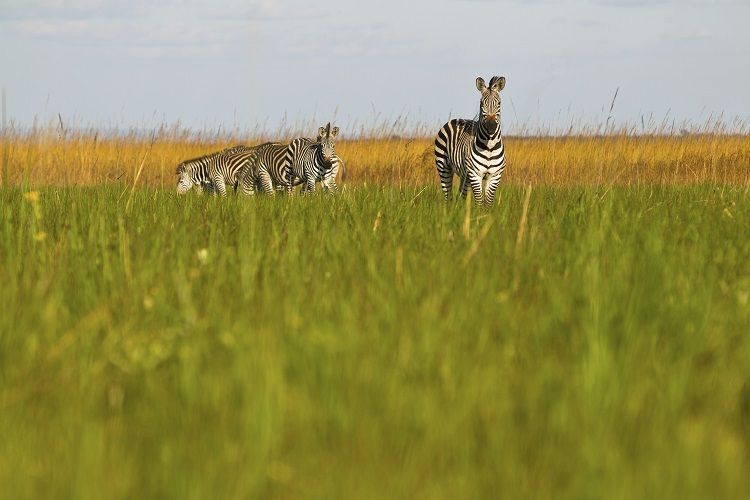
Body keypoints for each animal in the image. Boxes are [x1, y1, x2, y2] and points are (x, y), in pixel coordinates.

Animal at [434, 75, 507, 205]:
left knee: (461, 195)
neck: (489, 146)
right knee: (448, 195)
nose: (491, 126)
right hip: (443, 167)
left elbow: (488, 203)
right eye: (481, 103)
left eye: (499, 103)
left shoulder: (495, 176)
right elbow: (479, 201)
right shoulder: (475, 174)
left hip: (465, 175)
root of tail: (456, 119)